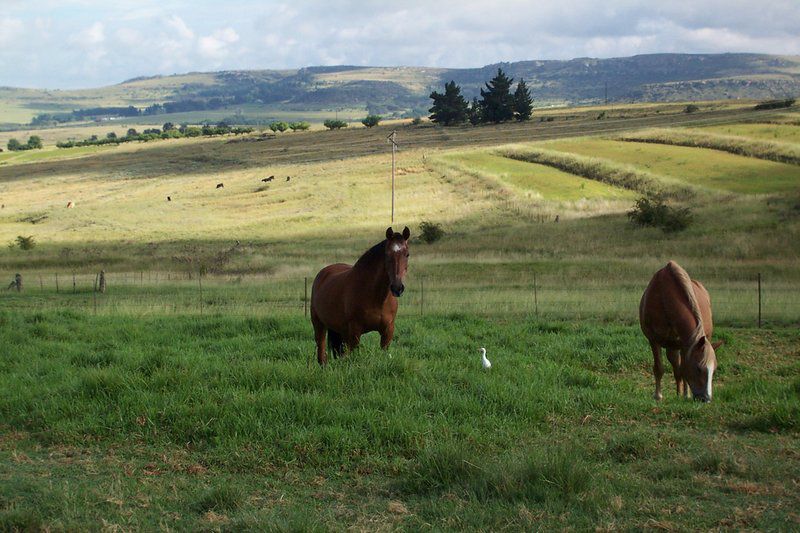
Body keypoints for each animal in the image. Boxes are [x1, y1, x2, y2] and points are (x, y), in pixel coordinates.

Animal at [310, 224, 412, 366]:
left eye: (407, 254)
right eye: (387, 254)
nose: (397, 288)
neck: (377, 298)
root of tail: (323, 273)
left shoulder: (387, 332)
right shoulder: (355, 332)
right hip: (319, 325)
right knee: (322, 352)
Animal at [640, 260, 720, 402]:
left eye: (714, 369)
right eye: (698, 368)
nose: (706, 398)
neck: (665, 298)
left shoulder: (685, 344)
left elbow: (683, 370)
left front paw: (685, 395)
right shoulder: (653, 340)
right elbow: (659, 368)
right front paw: (658, 396)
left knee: (678, 369)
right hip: (672, 347)